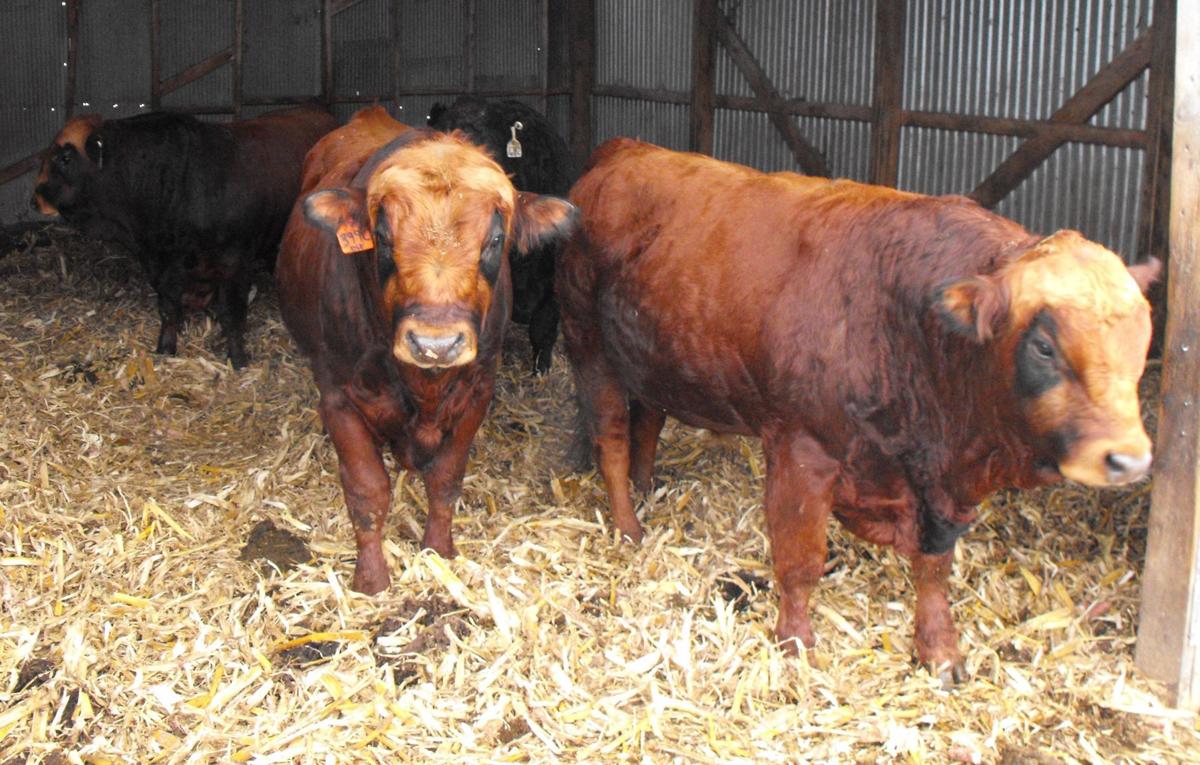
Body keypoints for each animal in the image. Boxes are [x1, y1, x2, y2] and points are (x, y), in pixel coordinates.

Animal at [33, 103, 337, 368]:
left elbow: (232, 314)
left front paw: (237, 358)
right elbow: (169, 308)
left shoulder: (235, 264)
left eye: (65, 158)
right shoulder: (162, 264)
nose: (36, 198)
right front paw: (165, 347)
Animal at [557, 138, 1159, 684]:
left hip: (651, 357)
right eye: (1044, 346)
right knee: (613, 439)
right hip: (591, 347)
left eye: (1144, 336)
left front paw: (939, 649)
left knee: (649, 420)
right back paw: (629, 525)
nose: (1128, 459)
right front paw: (795, 642)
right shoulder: (800, 450)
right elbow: (800, 560)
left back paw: (646, 486)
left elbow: (934, 570)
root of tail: (625, 149)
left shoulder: (937, 490)